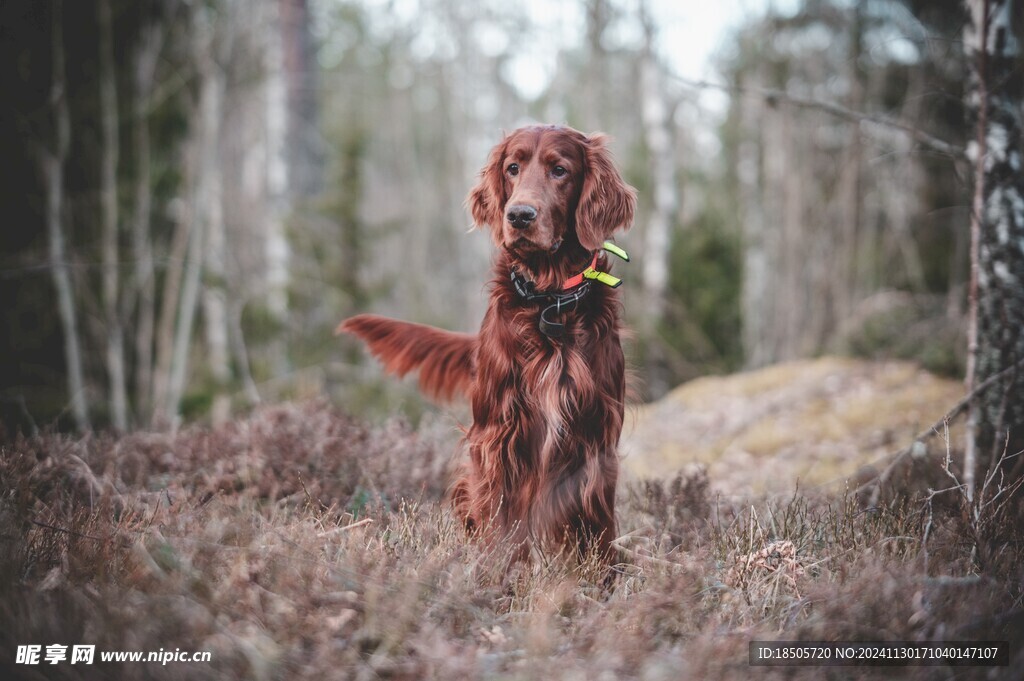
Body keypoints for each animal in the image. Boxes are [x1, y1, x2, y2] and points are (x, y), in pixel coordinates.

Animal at [339, 124, 634, 569]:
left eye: (560, 170)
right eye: (513, 168)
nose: (520, 215)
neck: (548, 301)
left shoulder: (596, 432)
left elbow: (597, 525)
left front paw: (601, 579)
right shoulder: (500, 431)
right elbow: (501, 518)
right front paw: (499, 574)